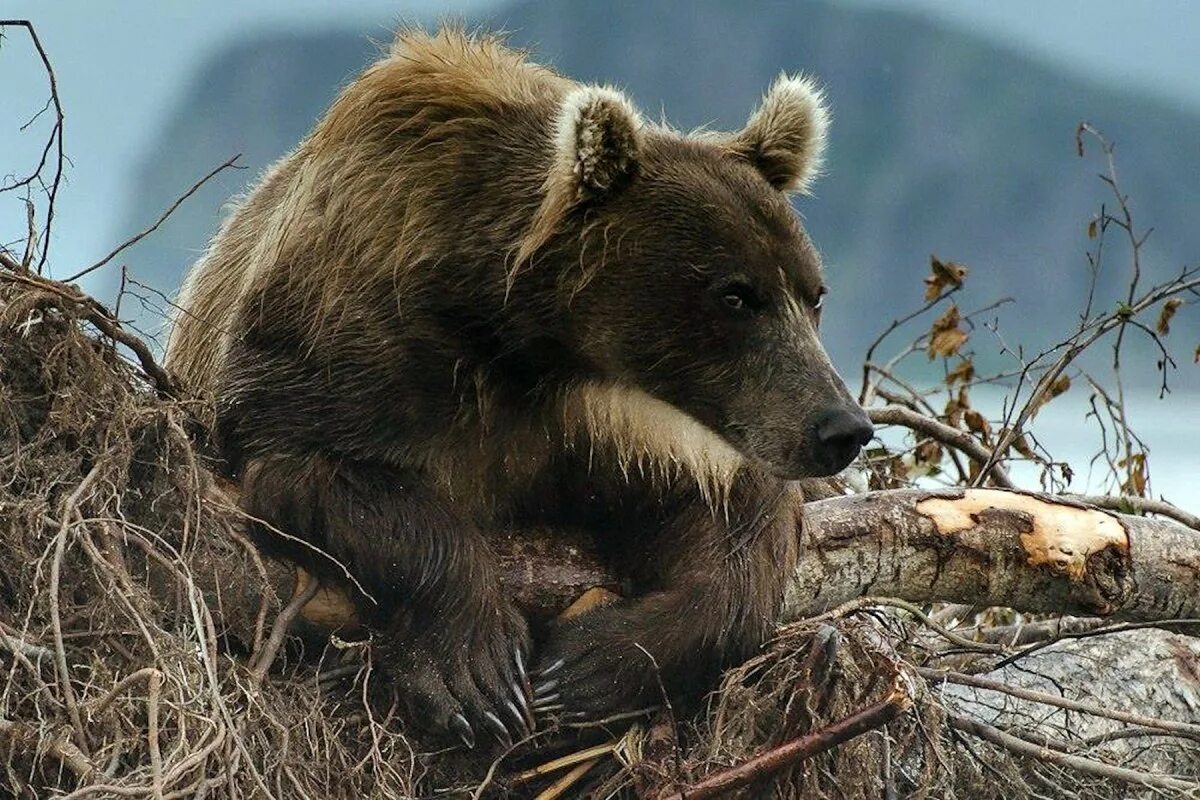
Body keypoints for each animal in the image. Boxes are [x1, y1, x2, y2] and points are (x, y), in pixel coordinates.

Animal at [166, 28, 873, 748]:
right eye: (735, 294)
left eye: (813, 293)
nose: (841, 426)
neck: (523, 340)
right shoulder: (340, 353)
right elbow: (337, 481)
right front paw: (473, 674)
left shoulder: (633, 433)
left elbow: (732, 536)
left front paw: (588, 666)